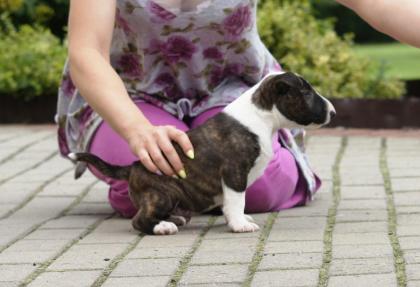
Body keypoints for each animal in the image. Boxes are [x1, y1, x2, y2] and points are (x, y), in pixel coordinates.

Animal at [70, 72, 336, 236]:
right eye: (306, 93)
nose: (333, 112)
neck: (261, 116)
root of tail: (134, 165)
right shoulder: (234, 173)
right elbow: (237, 201)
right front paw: (240, 225)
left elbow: (233, 203)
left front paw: (239, 221)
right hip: (161, 193)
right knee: (139, 220)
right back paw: (163, 227)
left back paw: (174, 220)